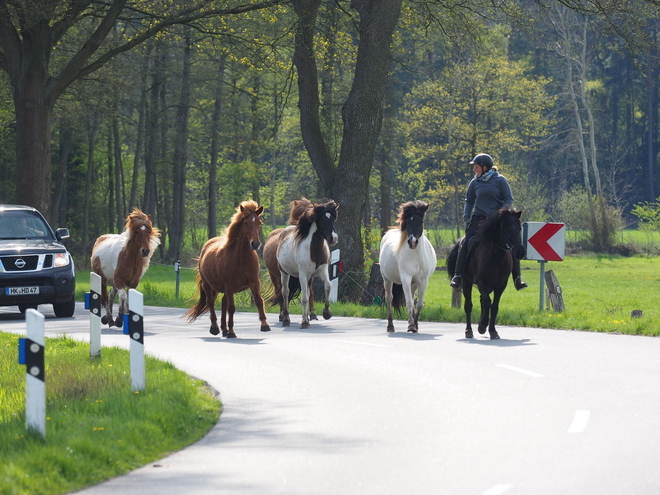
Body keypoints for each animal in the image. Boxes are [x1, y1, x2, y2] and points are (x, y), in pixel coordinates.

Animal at [182, 200, 270, 340]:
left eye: (259, 222)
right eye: (246, 222)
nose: (255, 244)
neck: (242, 259)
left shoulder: (254, 282)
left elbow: (259, 301)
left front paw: (265, 325)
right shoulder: (229, 285)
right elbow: (232, 308)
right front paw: (232, 332)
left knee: (223, 303)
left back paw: (224, 329)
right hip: (208, 285)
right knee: (211, 303)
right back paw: (215, 328)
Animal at [266, 198, 340, 330]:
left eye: (333, 218)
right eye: (322, 219)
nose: (333, 238)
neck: (314, 250)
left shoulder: (322, 271)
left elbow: (328, 286)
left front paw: (326, 313)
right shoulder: (303, 275)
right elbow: (304, 298)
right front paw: (304, 322)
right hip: (283, 273)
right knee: (285, 293)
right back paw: (286, 319)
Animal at [376, 201, 438, 334]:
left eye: (421, 221)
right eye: (408, 221)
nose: (413, 242)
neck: (416, 256)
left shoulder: (423, 281)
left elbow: (419, 304)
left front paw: (415, 325)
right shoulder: (406, 279)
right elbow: (409, 303)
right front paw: (411, 326)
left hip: (414, 283)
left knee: (413, 298)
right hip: (387, 279)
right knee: (389, 299)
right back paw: (390, 326)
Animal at [446, 206, 524, 340]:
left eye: (519, 228)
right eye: (506, 229)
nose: (520, 252)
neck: (496, 255)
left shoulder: (501, 285)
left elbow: (494, 306)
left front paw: (492, 330)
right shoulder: (481, 281)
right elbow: (487, 303)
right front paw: (482, 326)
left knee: (482, 300)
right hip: (466, 282)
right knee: (469, 305)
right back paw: (469, 330)